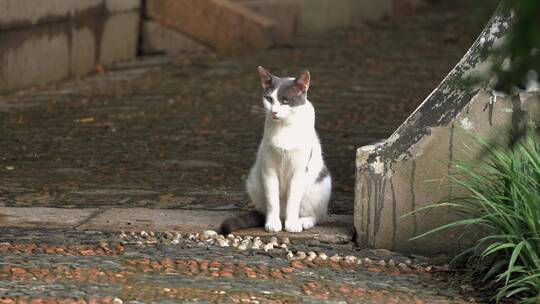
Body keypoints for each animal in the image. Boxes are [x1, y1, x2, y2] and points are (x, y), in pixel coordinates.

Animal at [220, 65, 332, 234]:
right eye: (269, 99)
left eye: (285, 101)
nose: (274, 111)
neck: (284, 127)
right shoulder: (269, 168)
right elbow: (272, 200)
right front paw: (272, 223)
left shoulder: (299, 170)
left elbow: (293, 200)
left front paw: (292, 225)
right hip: (253, 181)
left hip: (321, 185)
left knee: (318, 216)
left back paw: (303, 221)